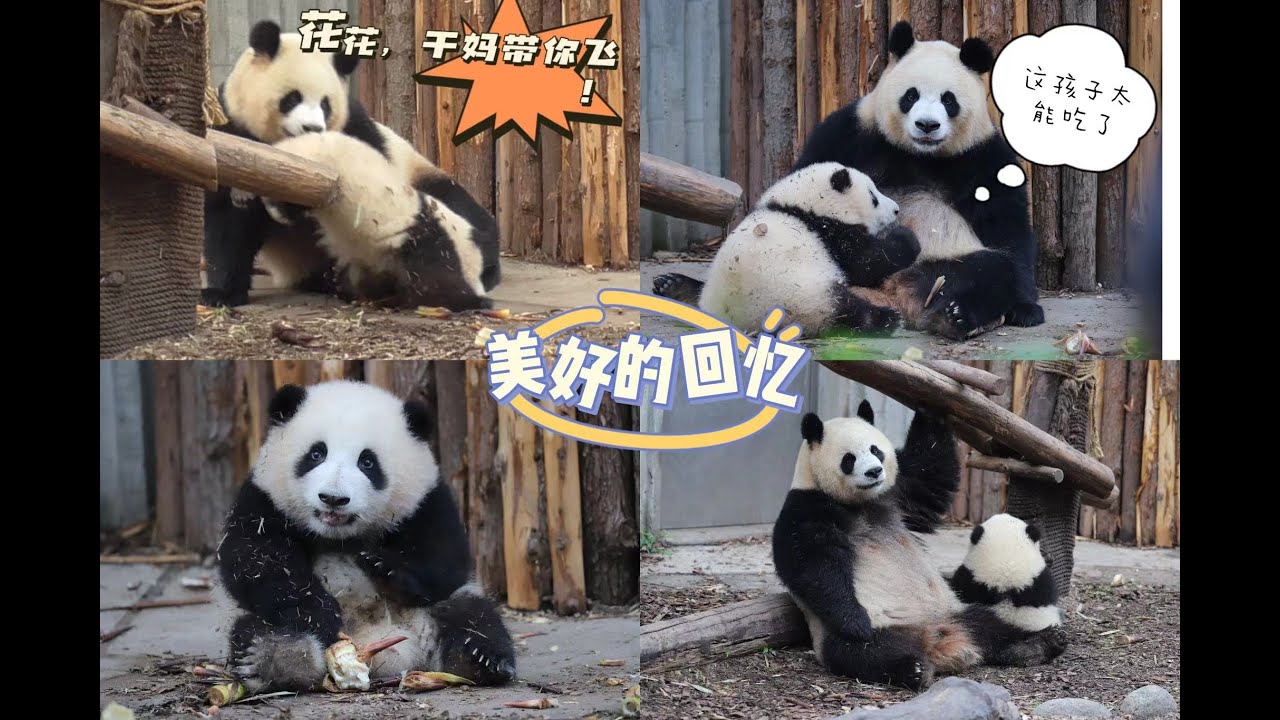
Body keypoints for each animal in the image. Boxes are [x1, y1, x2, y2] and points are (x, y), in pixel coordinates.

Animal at [216, 380, 516, 692]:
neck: (340, 537)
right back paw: (268, 658)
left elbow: (446, 560)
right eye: (316, 454)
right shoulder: (263, 500)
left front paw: (383, 567)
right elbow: (256, 561)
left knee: (472, 616)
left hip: (438, 611)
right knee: (257, 629)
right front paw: (318, 611)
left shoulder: (426, 503)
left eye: (367, 462)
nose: (333, 498)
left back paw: (480, 659)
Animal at [651, 162, 920, 335]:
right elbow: (865, 262)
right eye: (874, 198)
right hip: (803, 298)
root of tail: (735, 321)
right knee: (847, 312)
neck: (797, 205)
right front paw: (907, 238)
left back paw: (674, 285)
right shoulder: (828, 233)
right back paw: (887, 319)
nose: (896, 210)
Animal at [772, 402, 1067, 690]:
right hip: (846, 634)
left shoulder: (900, 490)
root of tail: (937, 639)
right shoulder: (807, 508)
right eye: (849, 459)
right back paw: (913, 669)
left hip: (957, 611)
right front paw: (855, 621)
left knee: (993, 627)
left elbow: (931, 473)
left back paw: (1040, 643)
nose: (874, 471)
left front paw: (931, 403)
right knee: (864, 653)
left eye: (876, 450)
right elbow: (813, 566)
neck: (862, 502)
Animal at [793, 21, 1045, 341]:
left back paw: (955, 315)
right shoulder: (852, 133)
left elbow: (1006, 227)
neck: (921, 154)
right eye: (911, 95)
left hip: (945, 260)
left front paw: (1025, 309)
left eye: (948, 100)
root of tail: (894, 294)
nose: (927, 125)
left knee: (993, 269)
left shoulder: (981, 156)